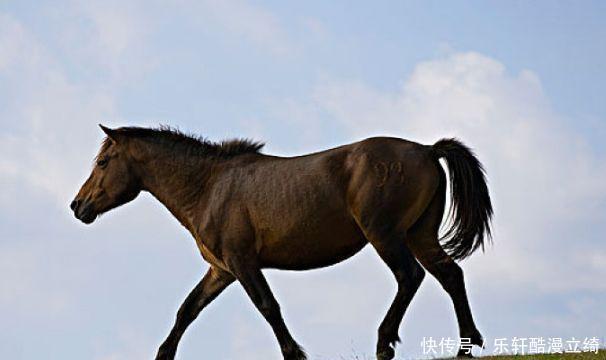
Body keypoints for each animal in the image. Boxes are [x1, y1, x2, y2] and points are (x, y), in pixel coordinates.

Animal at [71, 125, 494, 358]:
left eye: (103, 162)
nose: (78, 206)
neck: (209, 187)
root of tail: (427, 150)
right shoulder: (221, 271)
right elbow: (187, 310)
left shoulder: (242, 263)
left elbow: (268, 307)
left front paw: (296, 354)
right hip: (419, 235)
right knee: (450, 275)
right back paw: (465, 347)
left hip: (386, 236)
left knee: (410, 278)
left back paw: (384, 344)